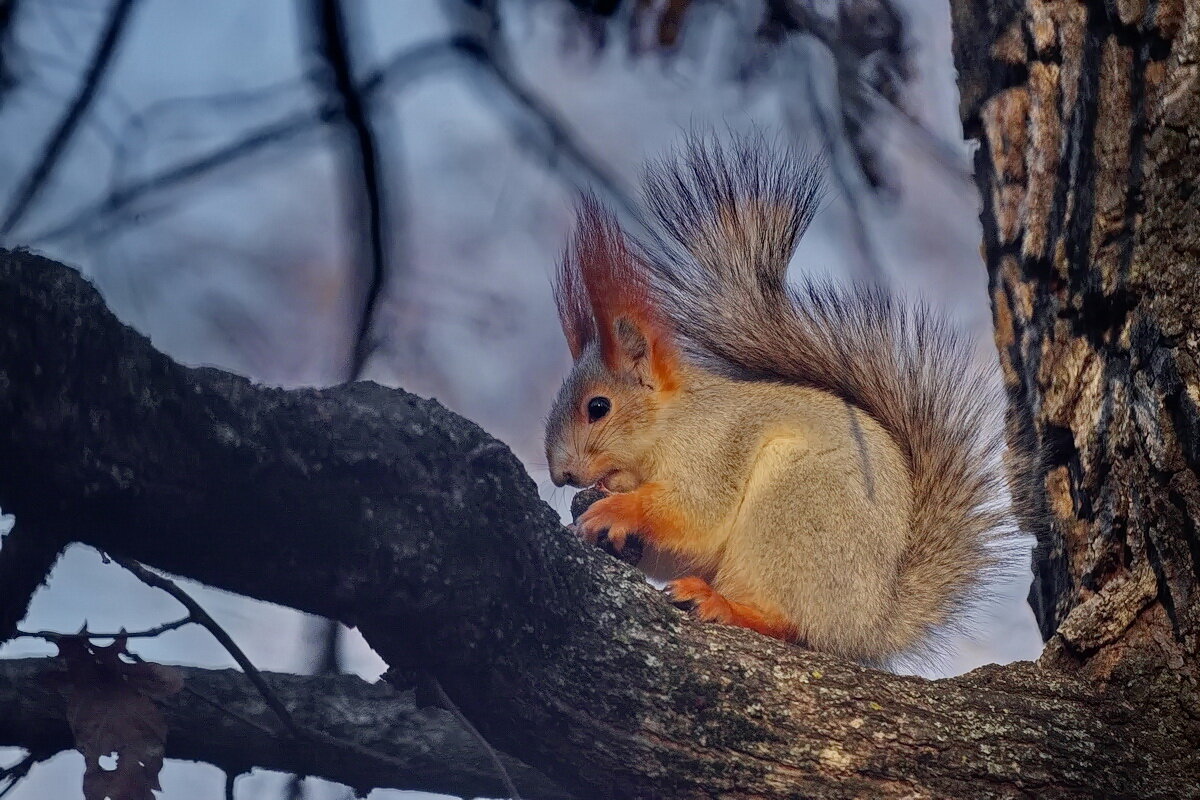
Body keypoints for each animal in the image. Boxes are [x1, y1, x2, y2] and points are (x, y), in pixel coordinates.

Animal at [544, 134, 1022, 666]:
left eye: (598, 408)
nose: (560, 475)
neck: (672, 422)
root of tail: (868, 625)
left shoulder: (712, 450)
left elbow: (695, 514)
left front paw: (614, 510)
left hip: (794, 509)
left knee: (791, 623)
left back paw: (726, 606)